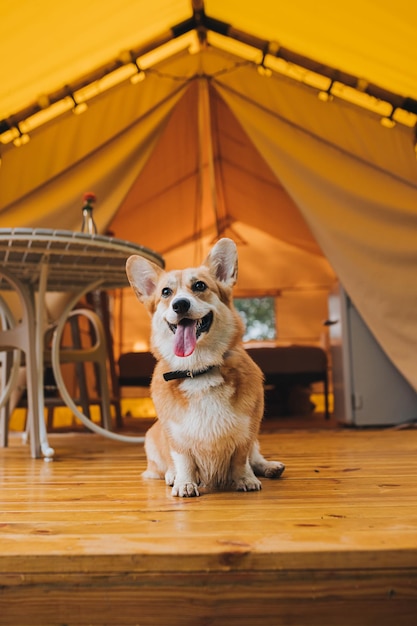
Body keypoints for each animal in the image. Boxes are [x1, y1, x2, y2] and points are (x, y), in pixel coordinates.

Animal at [125, 236, 284, 494]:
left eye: (199, 286)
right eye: (166, 292)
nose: (180, 305)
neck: (198, 370)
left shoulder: (247, 431)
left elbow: (241, 459)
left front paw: (245, 479)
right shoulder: (177, 436)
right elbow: (183, 459)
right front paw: (184, 483)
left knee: (255, 456)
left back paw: (269, 467)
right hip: (153, 438)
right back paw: (171, 475)